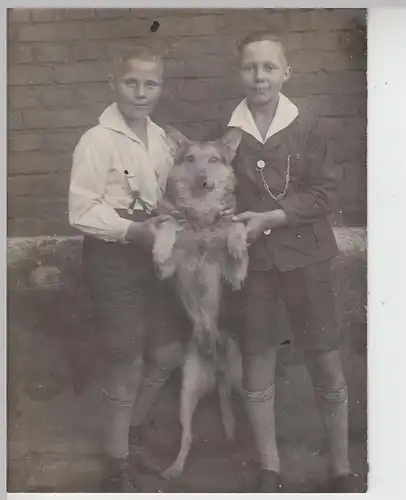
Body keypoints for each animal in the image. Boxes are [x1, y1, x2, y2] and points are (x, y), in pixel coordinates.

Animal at [152, 127, 247, 478]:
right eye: (190, 159)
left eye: (214, 160)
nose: (204, 180)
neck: (201, 217)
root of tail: (215, 363)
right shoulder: (172, 259)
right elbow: (167, 225)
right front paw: (160, 251)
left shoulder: (228, 269)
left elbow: (236, 225)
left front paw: (237, 248)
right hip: (187, 391)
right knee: (189, 435)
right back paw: (175, 467)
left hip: (242, 377)